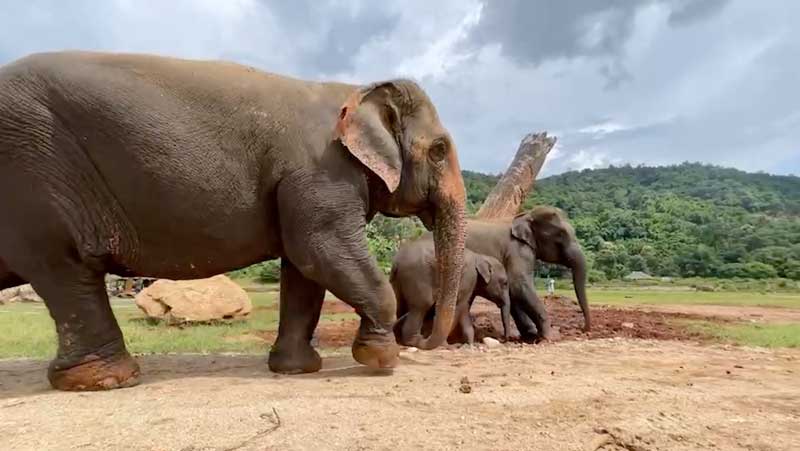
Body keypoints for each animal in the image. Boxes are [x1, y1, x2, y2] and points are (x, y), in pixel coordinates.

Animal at [0, 52, 468, 392]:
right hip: (37, 178)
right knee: (68, 270)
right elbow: (319, 249)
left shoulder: (300, 182)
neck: (352, 91)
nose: (422, 341)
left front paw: (297, 370)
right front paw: (381, 361)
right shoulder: (322, 171)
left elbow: (303, 270)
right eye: (439, 150)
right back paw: (106, 380)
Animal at [456, 207, 588, 342]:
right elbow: (518, 285)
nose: (584, 329)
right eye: (560, 234)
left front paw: (532, 335)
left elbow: (514, 293)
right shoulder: (517, 250)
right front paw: (550, 336)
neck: (525, 216)